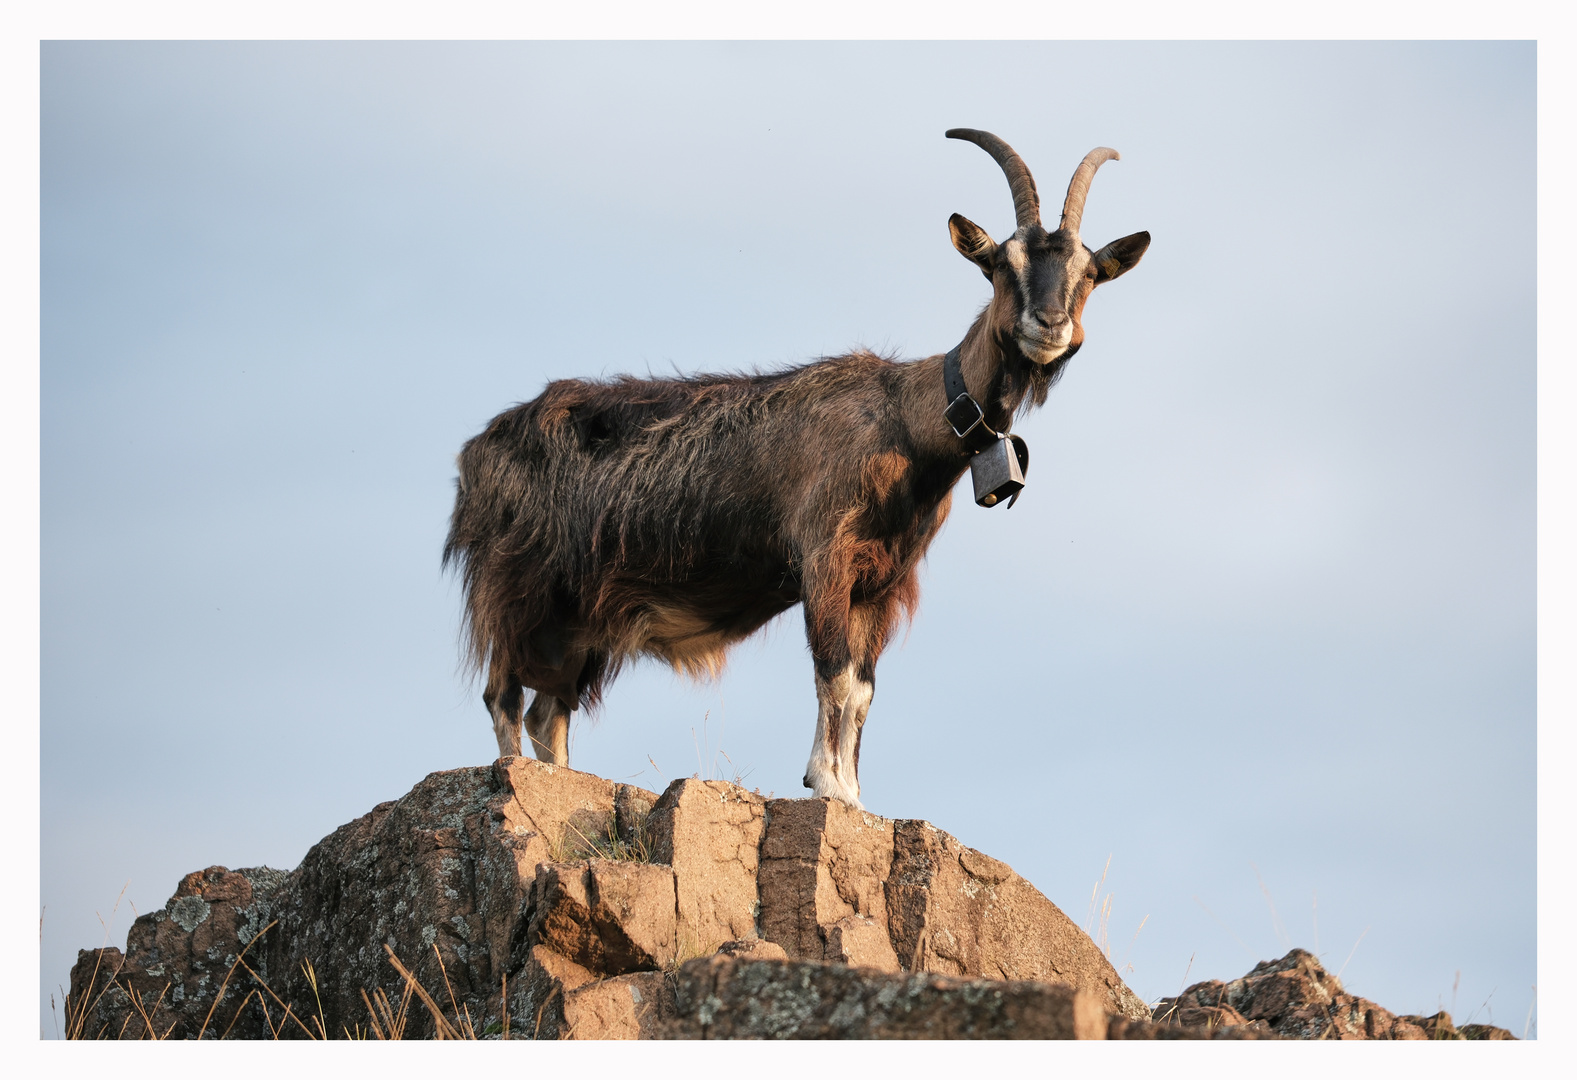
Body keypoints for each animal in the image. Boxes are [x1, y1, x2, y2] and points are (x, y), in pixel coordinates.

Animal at [444, 128, 1148, 807]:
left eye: (1089, 273)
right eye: (1002, 265)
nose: (1049, 325)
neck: (904, 421)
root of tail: (475, 456)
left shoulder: (882, 584)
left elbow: (862, 688)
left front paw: (854, 794)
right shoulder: (824, 557)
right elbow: (832, 673)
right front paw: (828, 784)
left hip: (579, 618)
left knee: (549, 711)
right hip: (515, 584)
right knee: (503, 695)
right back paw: (511, 777)